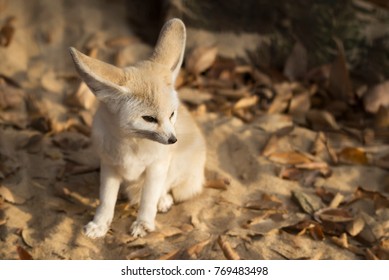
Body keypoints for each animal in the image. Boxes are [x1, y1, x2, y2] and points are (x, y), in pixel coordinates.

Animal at [69, 18, 206, 237]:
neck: (132, 145)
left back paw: (163, 200)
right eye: (149, 118)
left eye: (171, 114)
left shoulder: (156, 167)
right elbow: (106, 200)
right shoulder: (109, 166)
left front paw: (144, 223)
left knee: (166, 188)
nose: (173, 140)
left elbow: (148, 199)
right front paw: (100, 224)